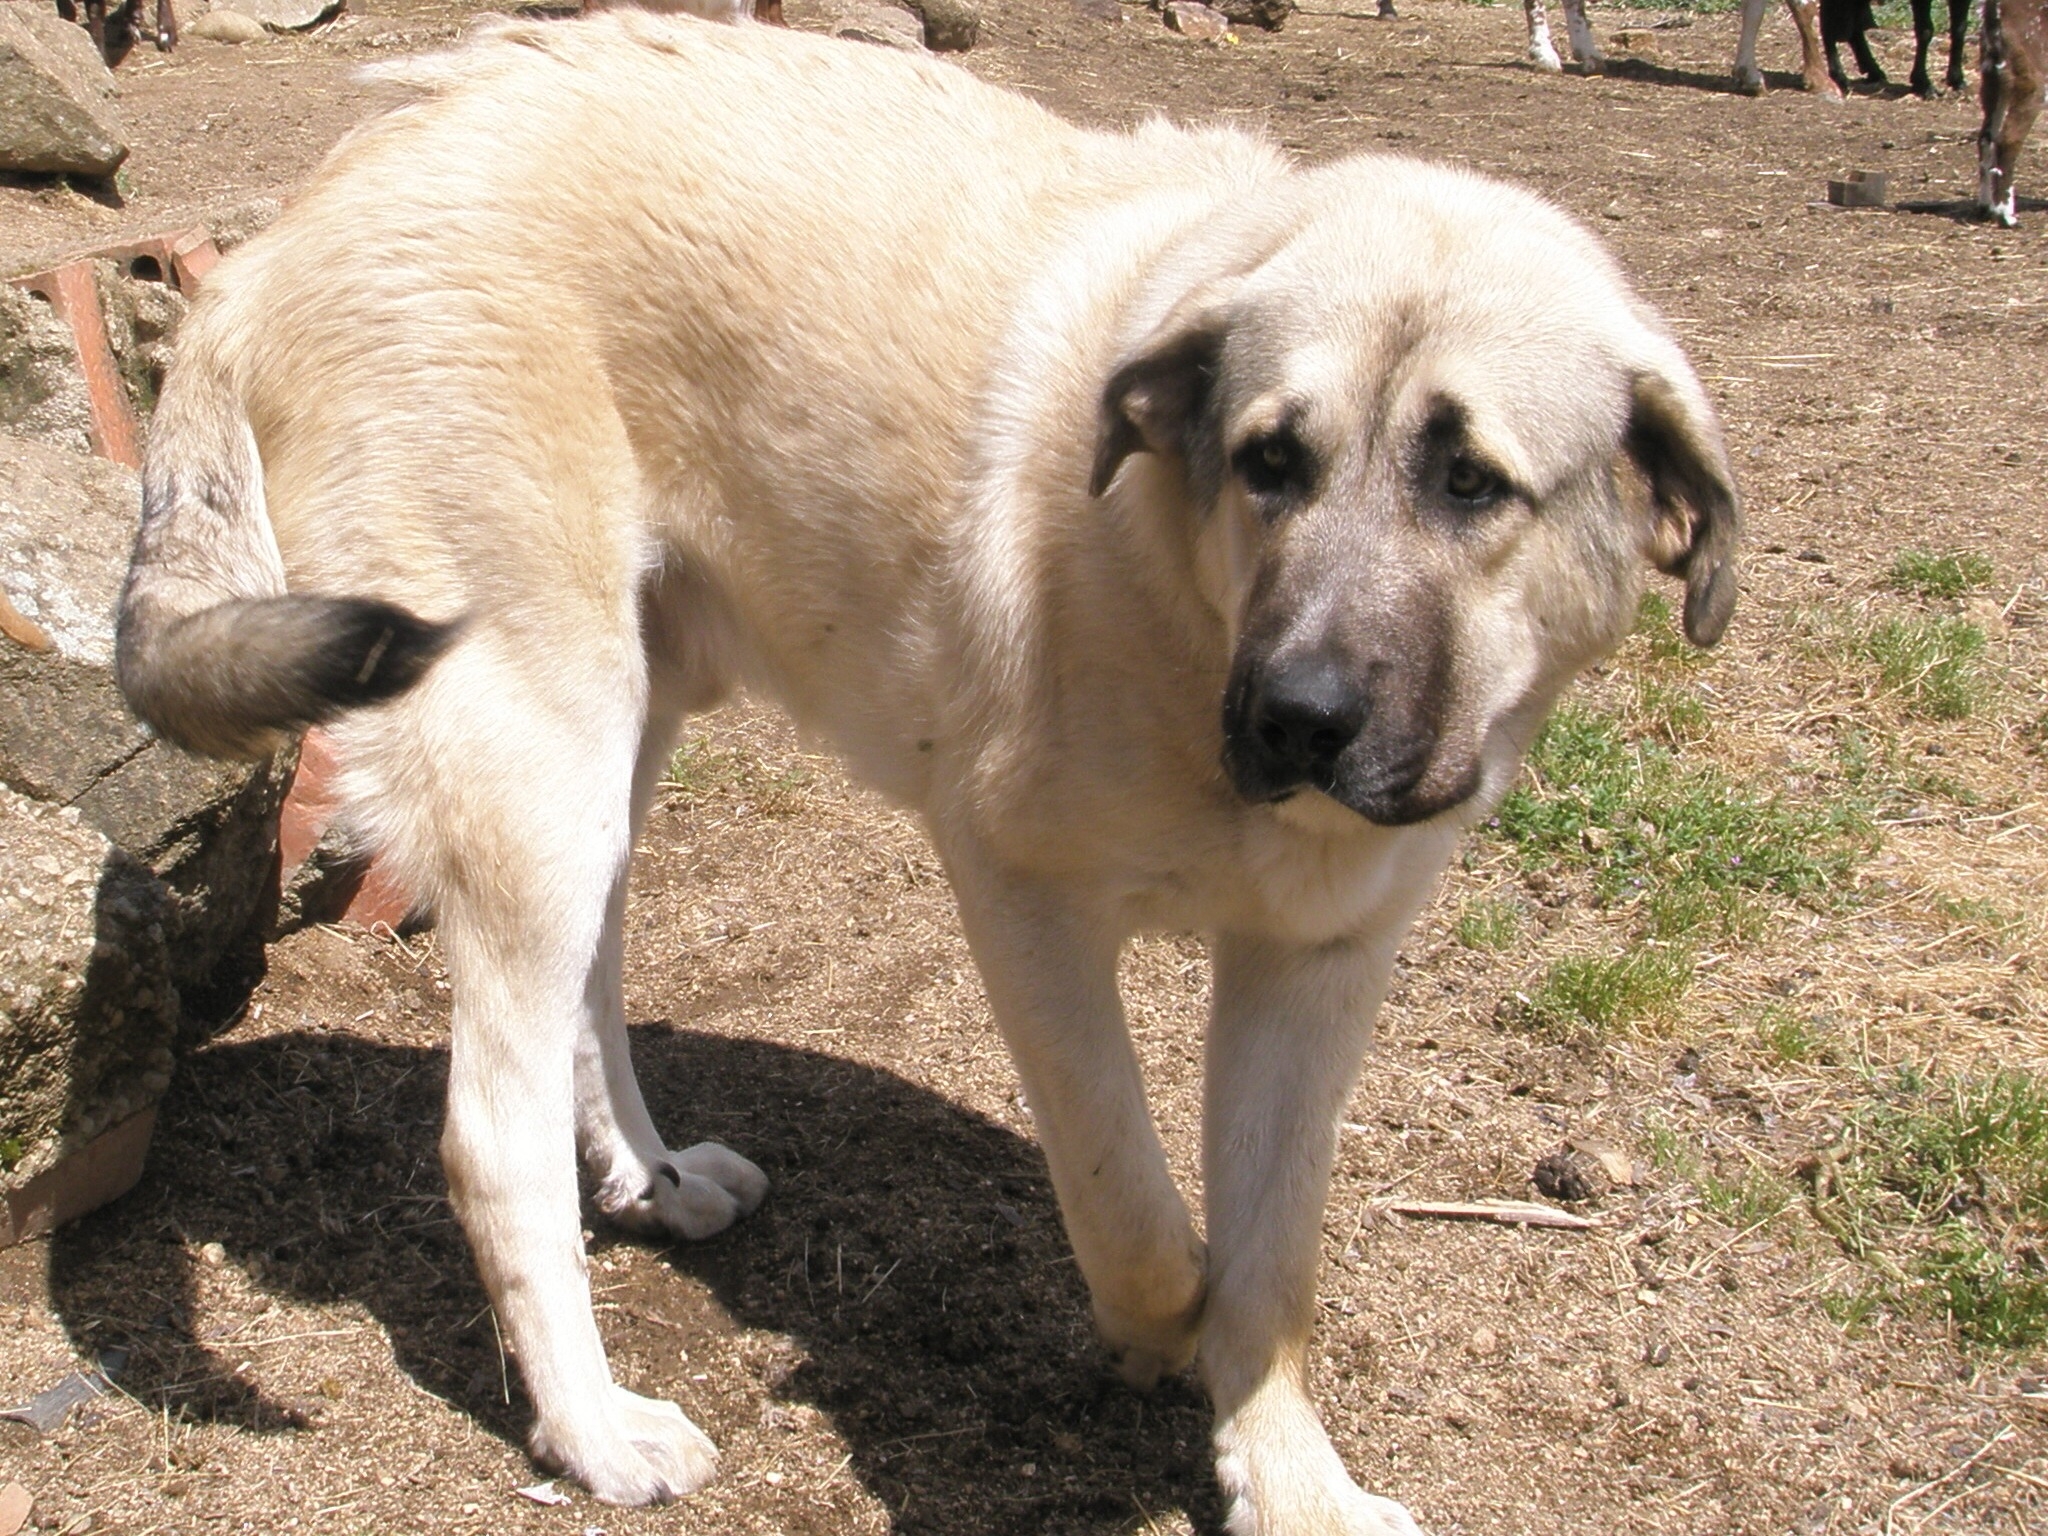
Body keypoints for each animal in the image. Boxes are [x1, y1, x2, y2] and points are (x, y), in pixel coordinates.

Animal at [119, 15, 1736, 1536]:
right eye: (1269, 461)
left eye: (1471, 483)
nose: (1297, 716)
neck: (1182, 591)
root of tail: (278, 240)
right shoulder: (1020, 897)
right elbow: (1133, 1206)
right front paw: (1167, 1328)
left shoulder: (1317, 966)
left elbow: (1277, 1259)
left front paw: (1289, 1480)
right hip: (538, 753)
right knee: (484, 1136)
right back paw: (590, 1428)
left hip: (615, 742)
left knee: (590, 988)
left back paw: (649, 1176)